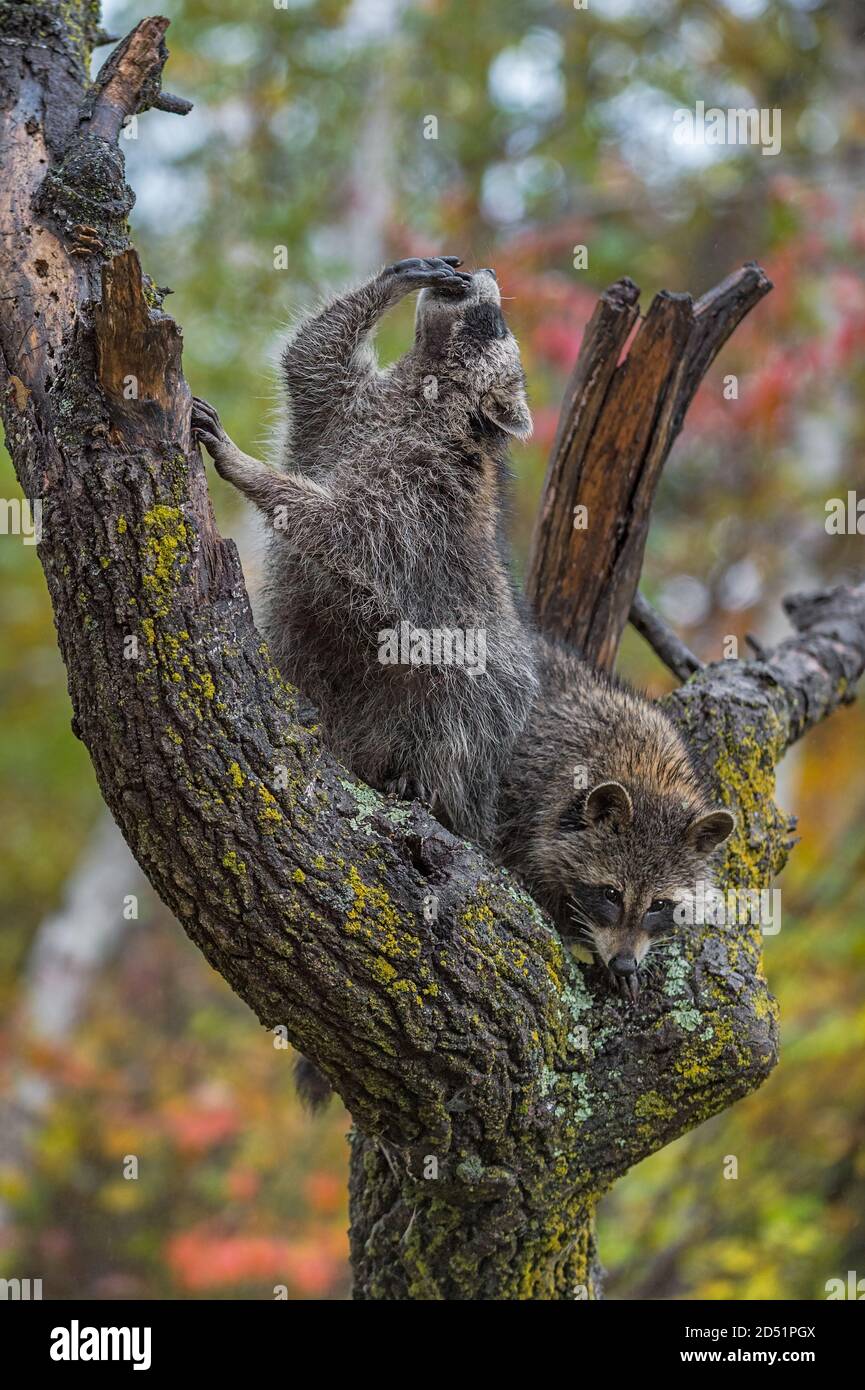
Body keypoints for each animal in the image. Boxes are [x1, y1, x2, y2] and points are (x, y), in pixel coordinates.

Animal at [193, 258, 539, 845]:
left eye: (495, 324)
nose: (488, 269)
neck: (425, 389)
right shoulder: (346, 410)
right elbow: (310, 359)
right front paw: (394, 280)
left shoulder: (419, 494)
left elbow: (344, 531)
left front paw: (249, 470)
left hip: (482, 690)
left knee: (463, 714)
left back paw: (428, 783)